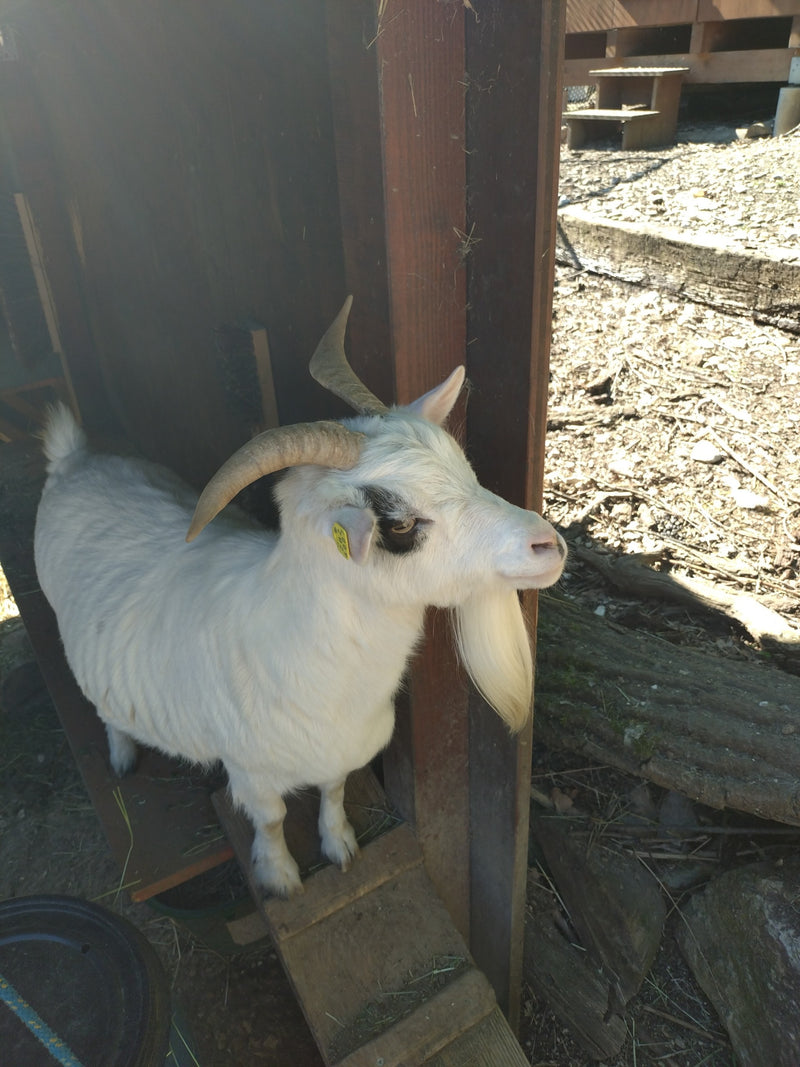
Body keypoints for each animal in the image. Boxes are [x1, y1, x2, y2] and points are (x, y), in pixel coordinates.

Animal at [34, 298, 567, 896]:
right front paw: (281, 876)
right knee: (104, 708)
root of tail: (72, 460)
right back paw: (122, 755)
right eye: (400, 524)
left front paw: (340, 845)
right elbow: (271, 819)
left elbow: (333, 790)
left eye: (465, 471)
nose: (549, 546)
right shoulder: (252, 773)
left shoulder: (341, 749)